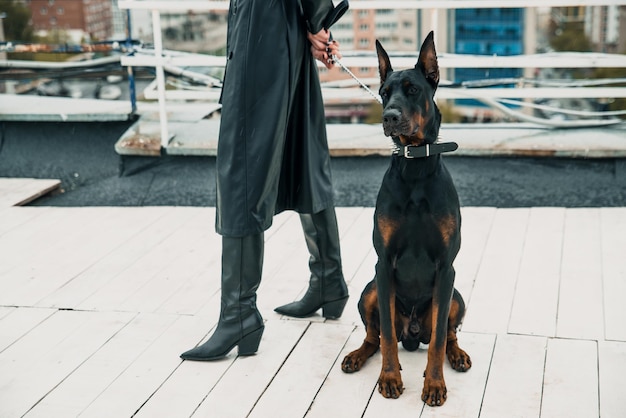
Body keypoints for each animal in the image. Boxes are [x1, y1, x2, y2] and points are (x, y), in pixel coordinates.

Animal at [338, 31, 470, 404]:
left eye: (412, 89)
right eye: (384, 92)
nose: (389, 117)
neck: (415, 167)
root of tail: (412, 334)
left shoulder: (446, 266)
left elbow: (438, 339)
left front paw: (435, 385)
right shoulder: (383, 264)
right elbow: (385, 339)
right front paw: (389, 378)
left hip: (456, 296)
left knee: (447, 333)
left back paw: (458, 355)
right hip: (370, 289)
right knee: (376, 336)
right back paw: (356, 357)